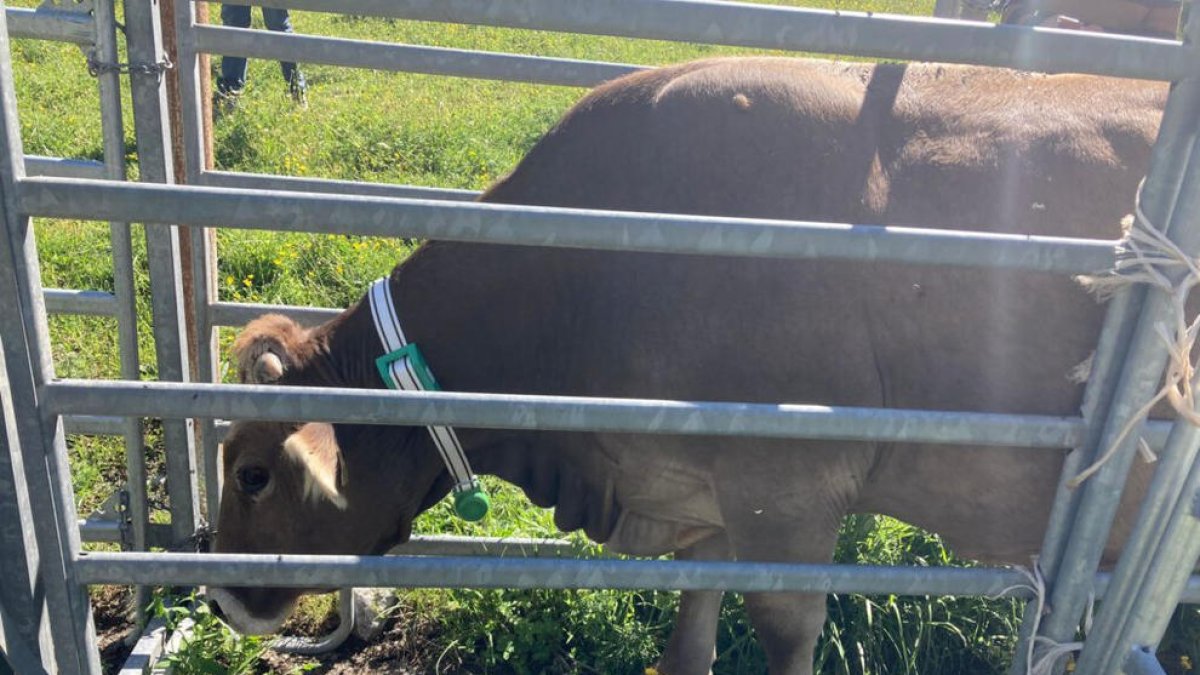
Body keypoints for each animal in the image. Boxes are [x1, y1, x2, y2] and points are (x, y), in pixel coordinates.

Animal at [208, 59, 1171, 672]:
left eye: (254, 472)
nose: (220, 599)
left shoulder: (784, 493)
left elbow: (783, 633)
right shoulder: (699, 485)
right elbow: (687, 642)